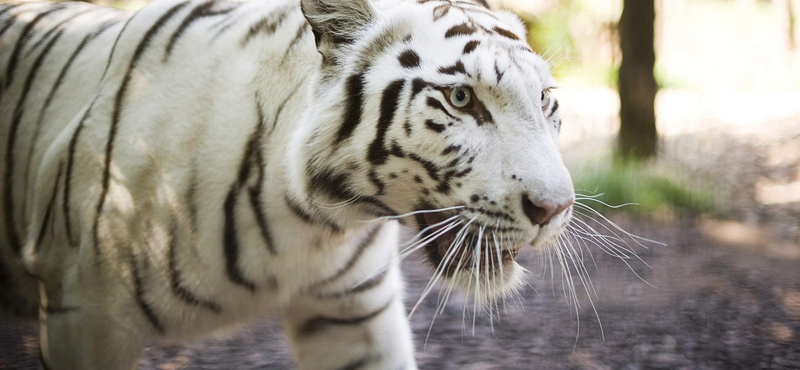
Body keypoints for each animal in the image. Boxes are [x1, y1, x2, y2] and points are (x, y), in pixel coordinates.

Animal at [0, 0, 576, 368]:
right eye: (460, 99)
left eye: (546, 100)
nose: (555, 209)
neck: (311, 224)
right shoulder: (86, 314)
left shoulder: (356, 314)